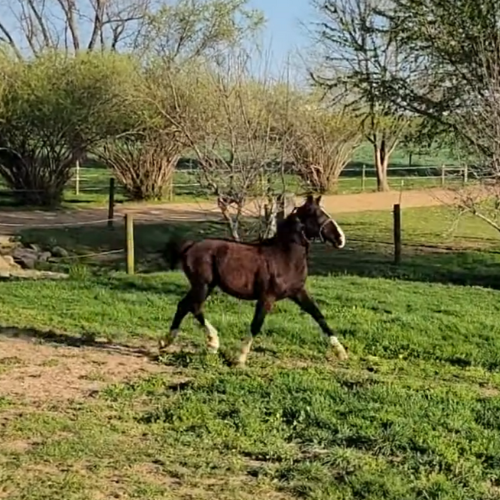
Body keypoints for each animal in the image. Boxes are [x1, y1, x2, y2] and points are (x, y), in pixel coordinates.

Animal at [160, 196, 348, 368]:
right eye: (316, 215)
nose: (340, 239)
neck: (284, 257)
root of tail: (190, 247)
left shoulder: (298, 292)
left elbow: (318, 315)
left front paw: (341, 352)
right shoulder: (267, 297)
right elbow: (256, 324)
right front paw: (240, 359)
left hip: (204, 286)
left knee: (183, 306)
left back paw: (165, 342)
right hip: (203, 285)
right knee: (194, 307)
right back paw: (212, 342)